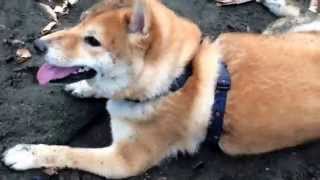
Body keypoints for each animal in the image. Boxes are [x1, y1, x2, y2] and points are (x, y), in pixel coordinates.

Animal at [1, 0, 320, 179]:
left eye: (93, 41)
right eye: (79, 24)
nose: (37, 45)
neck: (178, 79)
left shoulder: (124, 161)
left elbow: (68, 152)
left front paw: (27, 154)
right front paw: (83, 87)